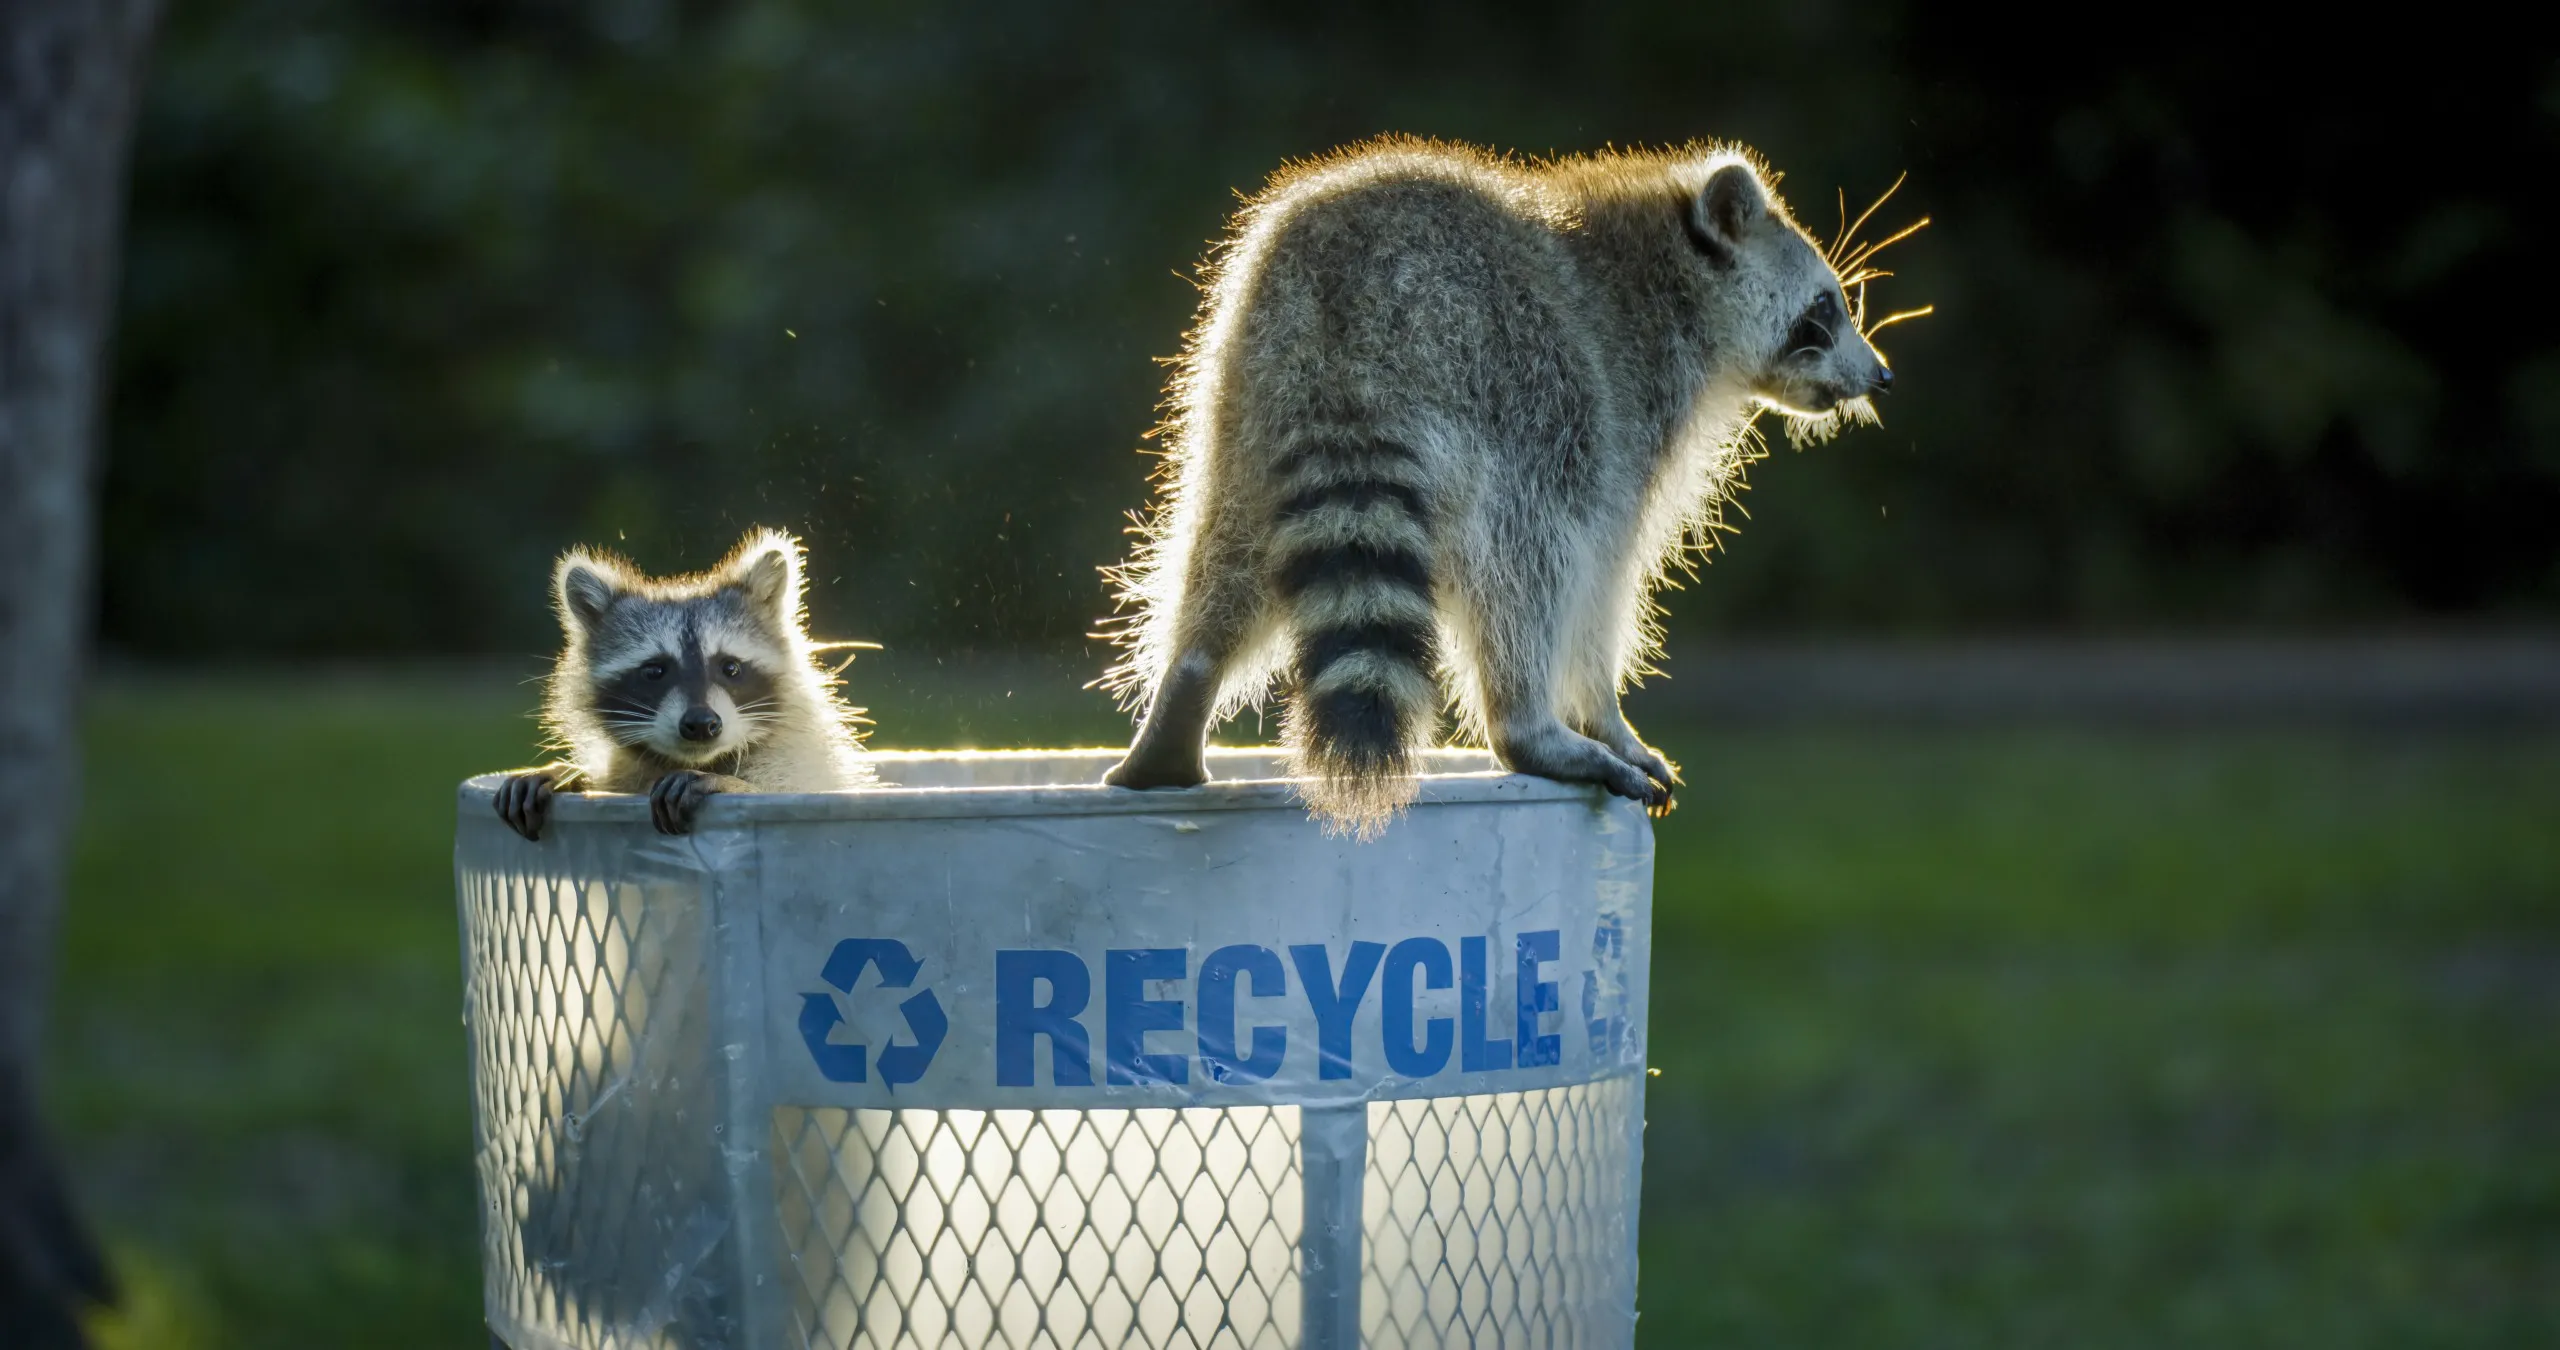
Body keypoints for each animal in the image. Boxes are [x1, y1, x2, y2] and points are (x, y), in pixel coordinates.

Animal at [494, 527, 875, 835]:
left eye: (730, 668)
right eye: (654, 671)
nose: (702, 723)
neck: (695, 760)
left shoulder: (805, 770)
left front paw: (734, 784)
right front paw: (568, 772)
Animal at [1100, 137, 1925, 835]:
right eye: (1825, 308)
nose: (1882, 375)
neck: (1672, 269)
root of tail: (1348, 294)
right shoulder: (1628, 410)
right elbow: (1602, 579)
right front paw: (1603, 712)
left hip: (1243, 393)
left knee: (1226, 552)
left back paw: (1184, 690)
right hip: (1510, 378)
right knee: (1535, 548)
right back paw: (1526, 723)